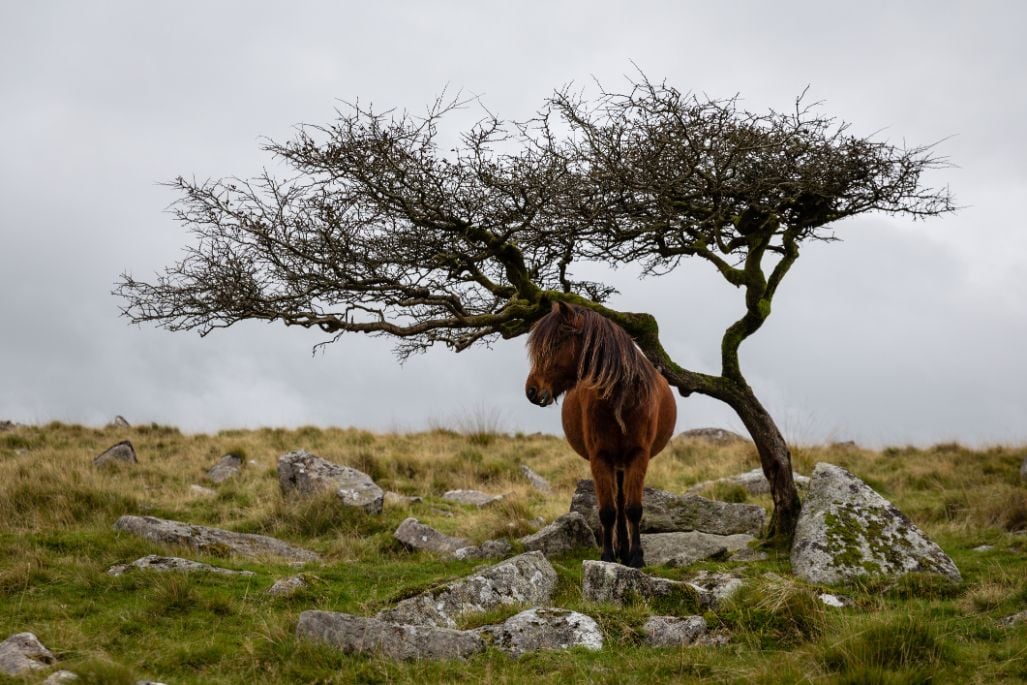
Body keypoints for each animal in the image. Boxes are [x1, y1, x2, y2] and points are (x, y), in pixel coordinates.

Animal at [525, 301, 677, 566]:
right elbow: (607, 511)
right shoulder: (600, 457)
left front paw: (637, 558)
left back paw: (626, 551)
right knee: (617, 503)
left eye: (556, 342)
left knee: (623, 502)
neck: (621, 401)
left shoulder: (638, 455)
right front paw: (607, 556)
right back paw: (620, 550)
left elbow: (633, 509)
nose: (531, 391)